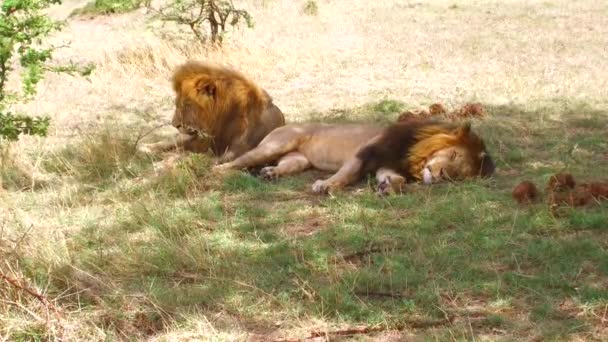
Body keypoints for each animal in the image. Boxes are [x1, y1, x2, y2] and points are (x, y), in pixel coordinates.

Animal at [139, 61, 286, 162]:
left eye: (187, 105)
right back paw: (145, 147)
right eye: (177, 104)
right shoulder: (201, 140)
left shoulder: (236, 150)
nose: (175, 125)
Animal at [213, 119, 494, 195]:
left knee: (282, 166)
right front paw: (326, 185)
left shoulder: (386, 165)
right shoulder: (366, 152)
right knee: (237, 162)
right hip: (276, 144)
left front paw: (387, 188)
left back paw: (270, 173)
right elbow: (347, 174)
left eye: (457, 176)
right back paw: (218, 172)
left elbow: (396, 180)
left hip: (297, 160)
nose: (440, 175)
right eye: (453, 154)